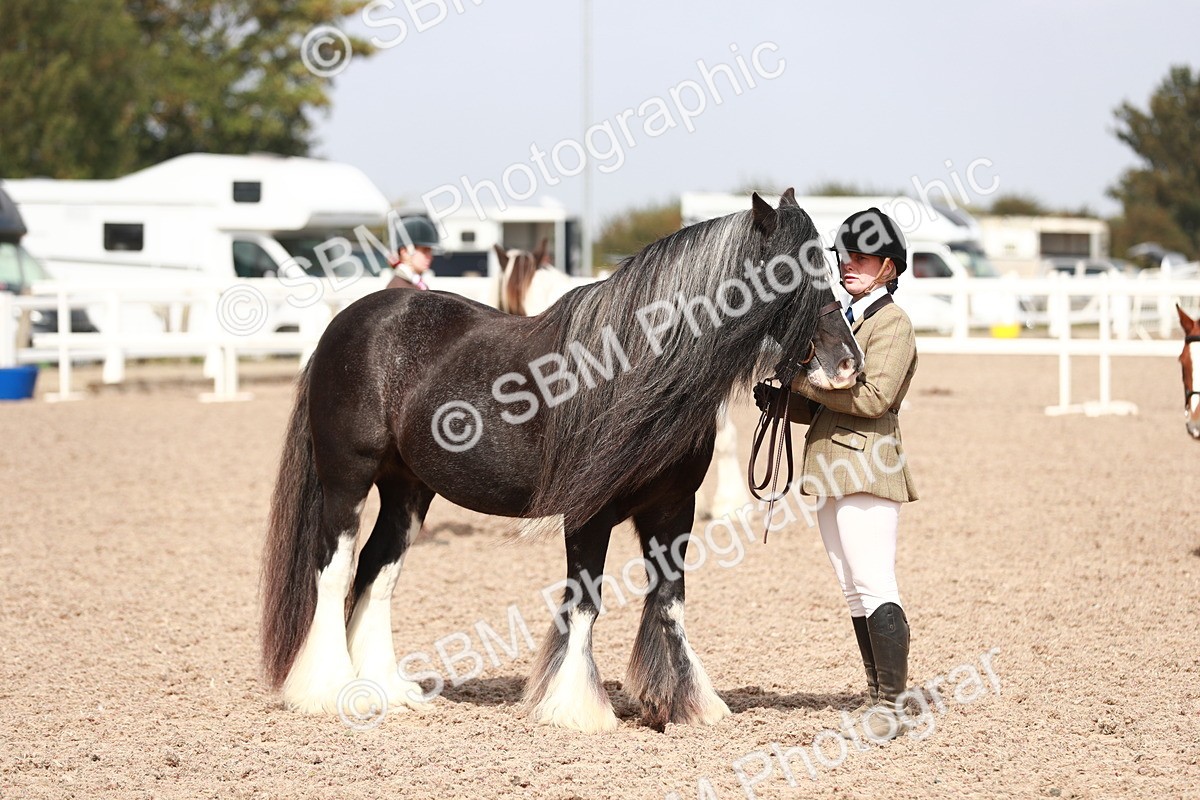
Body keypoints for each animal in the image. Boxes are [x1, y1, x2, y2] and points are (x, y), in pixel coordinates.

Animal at [260, 189, 865, 733]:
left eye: (828, 268)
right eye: (785, 274)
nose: (847, 364)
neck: (632, 373)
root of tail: (348, 323)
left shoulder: (674, 510)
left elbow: (669, 601)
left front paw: (684, 704)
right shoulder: (587, 514)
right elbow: (585, 602)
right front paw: (576, 708)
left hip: (408, 489)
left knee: (376, 571)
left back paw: (384, 689)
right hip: (348, 480)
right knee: (333, 570)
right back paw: (329, 690)